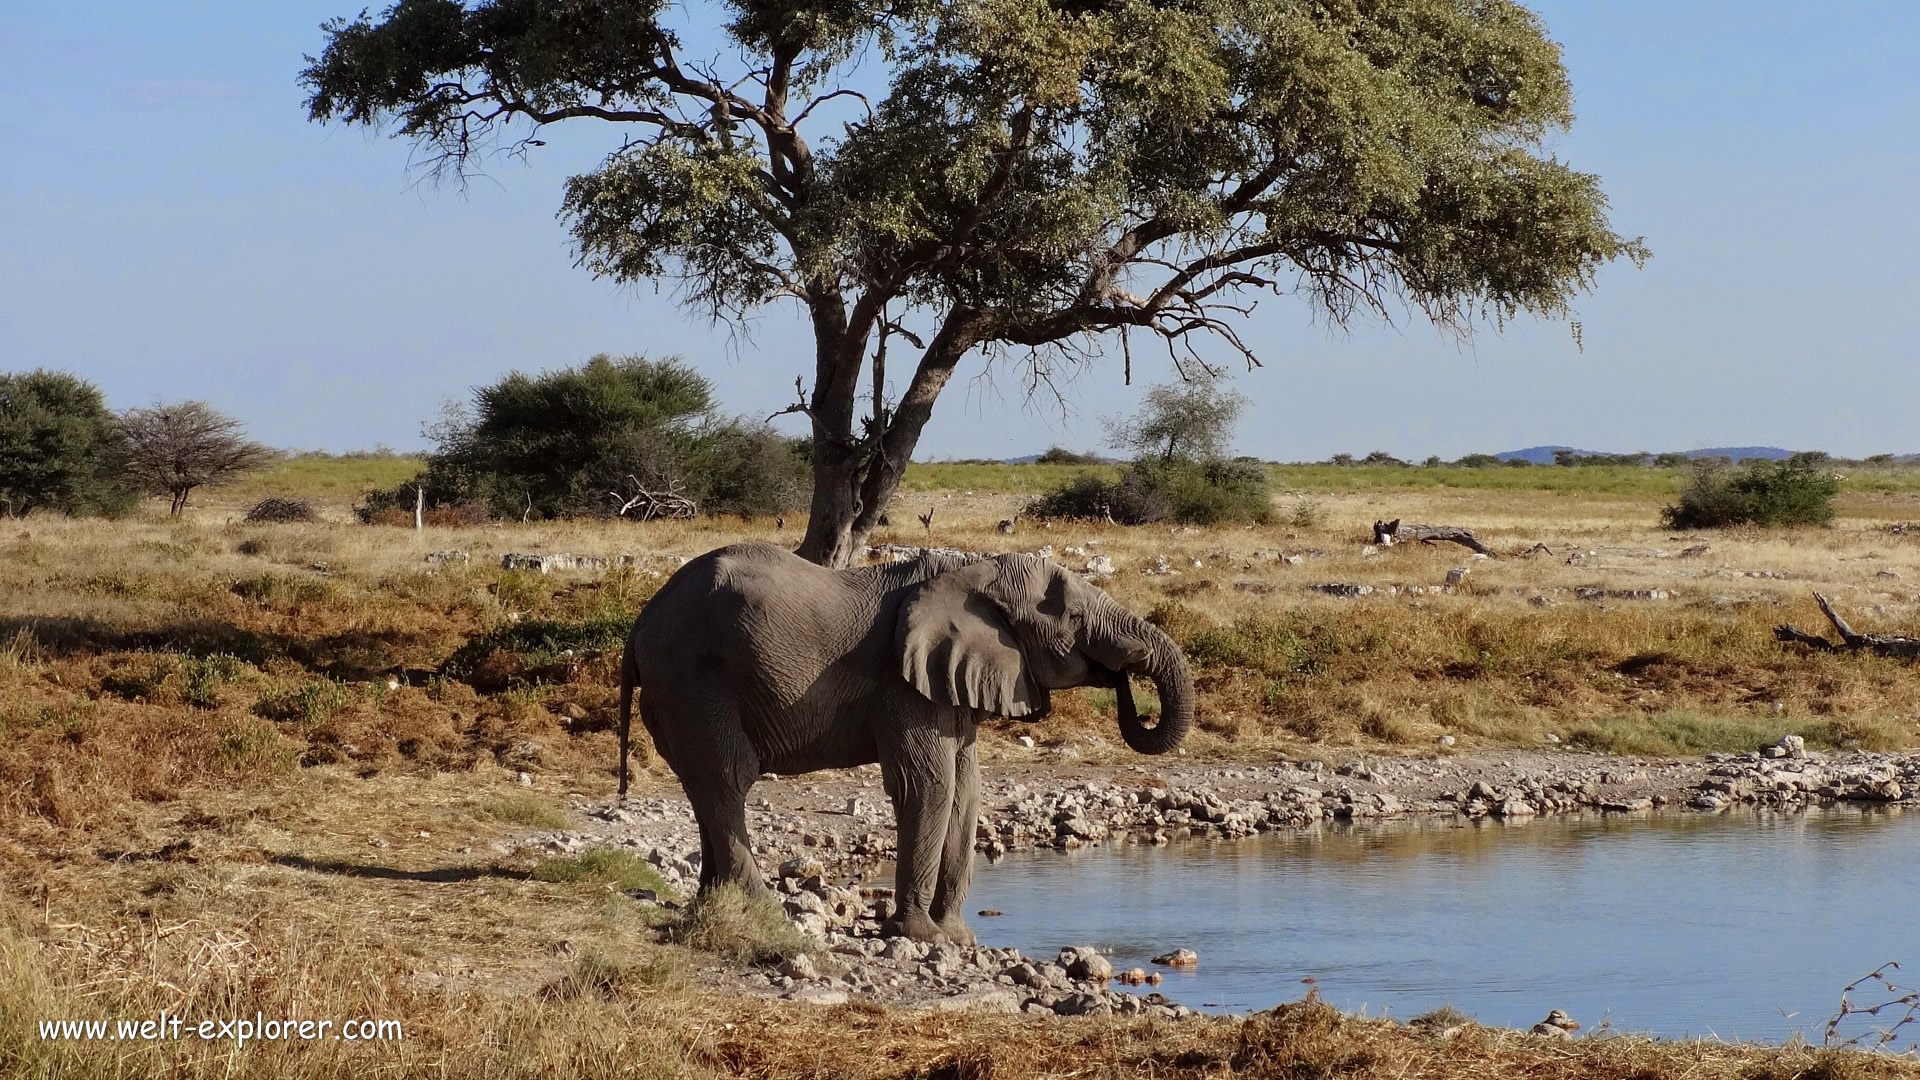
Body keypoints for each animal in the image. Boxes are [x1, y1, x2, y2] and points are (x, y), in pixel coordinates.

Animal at [614, 541, 1190, 937]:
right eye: (1073, 617)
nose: (1125, 678)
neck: (975, 570)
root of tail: (640, 621)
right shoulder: (901, 682)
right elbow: (928, 786)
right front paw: (920, 937)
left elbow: (966, 791)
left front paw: (957, 939)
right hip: (691, 678)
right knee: (729, 779)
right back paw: (765, 912)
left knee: (705, 788)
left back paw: (713, 905)